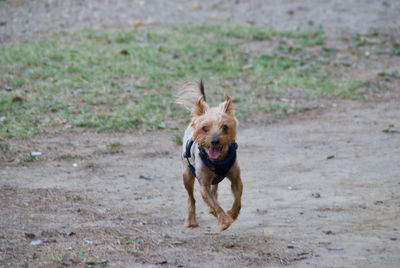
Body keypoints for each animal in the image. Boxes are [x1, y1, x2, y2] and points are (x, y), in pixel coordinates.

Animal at [176, 79, 244, 230]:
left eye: (225, 127)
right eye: (204, 128)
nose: (214, 141)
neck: (218, 161)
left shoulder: (236, 178)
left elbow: (238, 199)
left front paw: (232, 214)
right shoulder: (204, 184)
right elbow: (214, 203)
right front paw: (224, 221)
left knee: (214, 190)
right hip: (187, 175)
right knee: (191, 198)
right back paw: (191, 220)